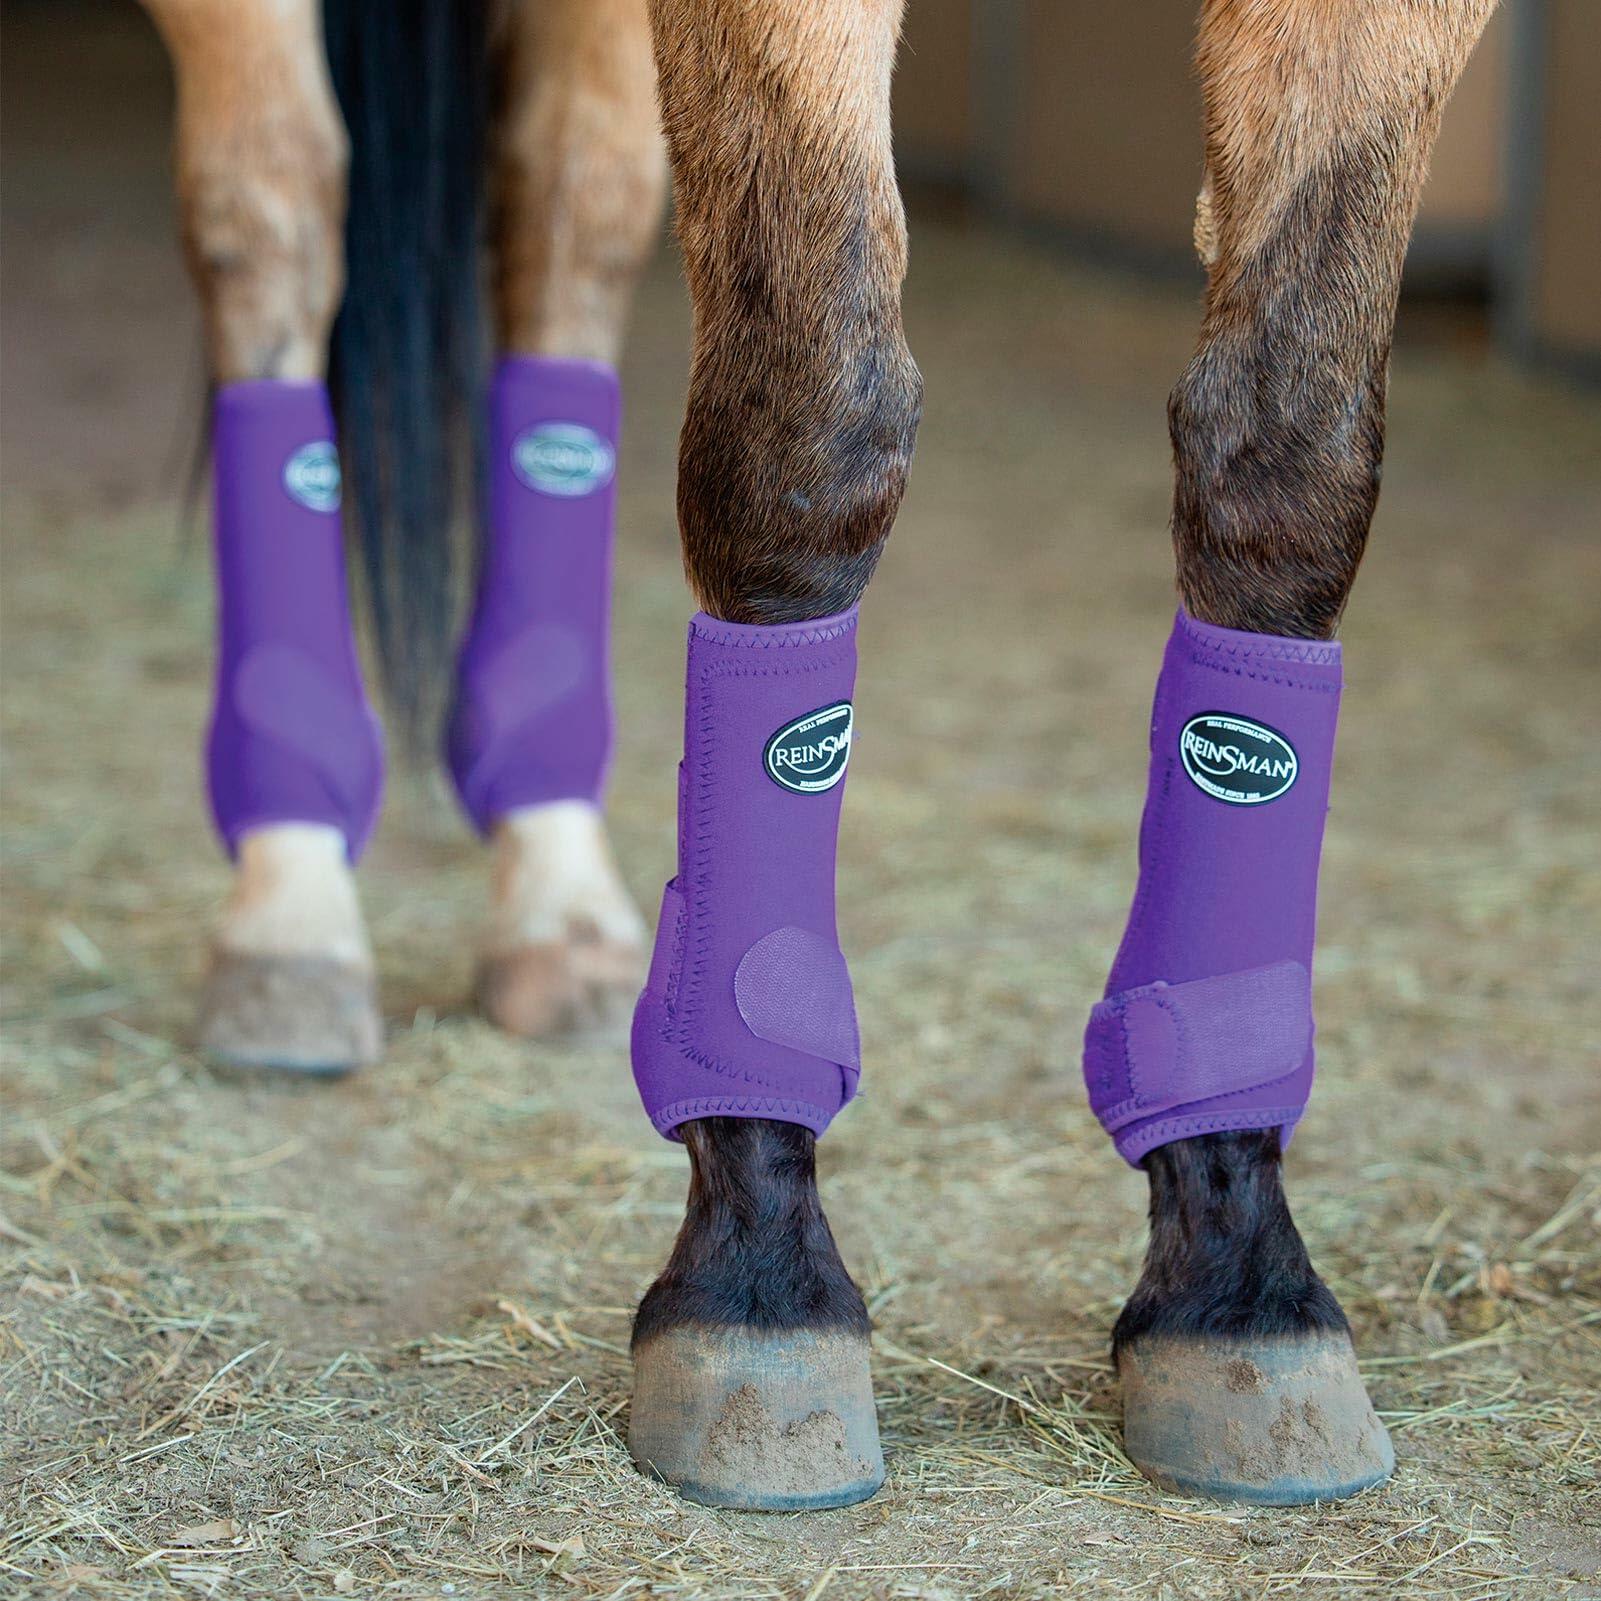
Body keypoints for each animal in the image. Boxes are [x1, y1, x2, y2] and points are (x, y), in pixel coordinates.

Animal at [138, 0, 1499, 1512]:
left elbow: (1287, 461)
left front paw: (1239, 1287)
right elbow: (805, 437)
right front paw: (760, 1281)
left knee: (571, 207)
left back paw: (555, 896)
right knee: (271, 204)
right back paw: (292, 903)